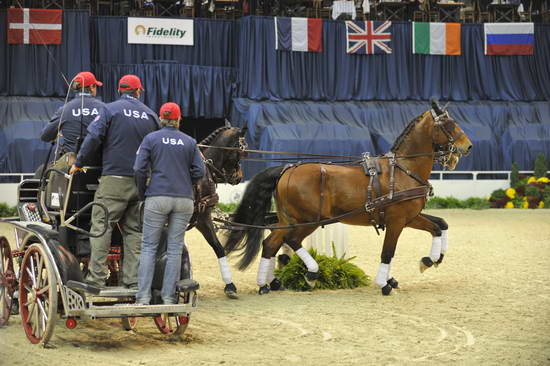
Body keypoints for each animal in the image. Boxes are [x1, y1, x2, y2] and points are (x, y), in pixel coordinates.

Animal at [224, 101, 474, 296]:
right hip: (309, 219)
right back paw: (310, 274)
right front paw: (384, 283)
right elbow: (388, 251)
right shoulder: (396, 220)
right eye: (448, 125)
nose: (468, 146)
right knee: (290, 240)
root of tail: (287, 169)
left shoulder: (410, 217)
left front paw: (431, 260)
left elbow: (440, 225)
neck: (404, 170)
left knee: (271, 244)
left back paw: (266, 284)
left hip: (288, 219)